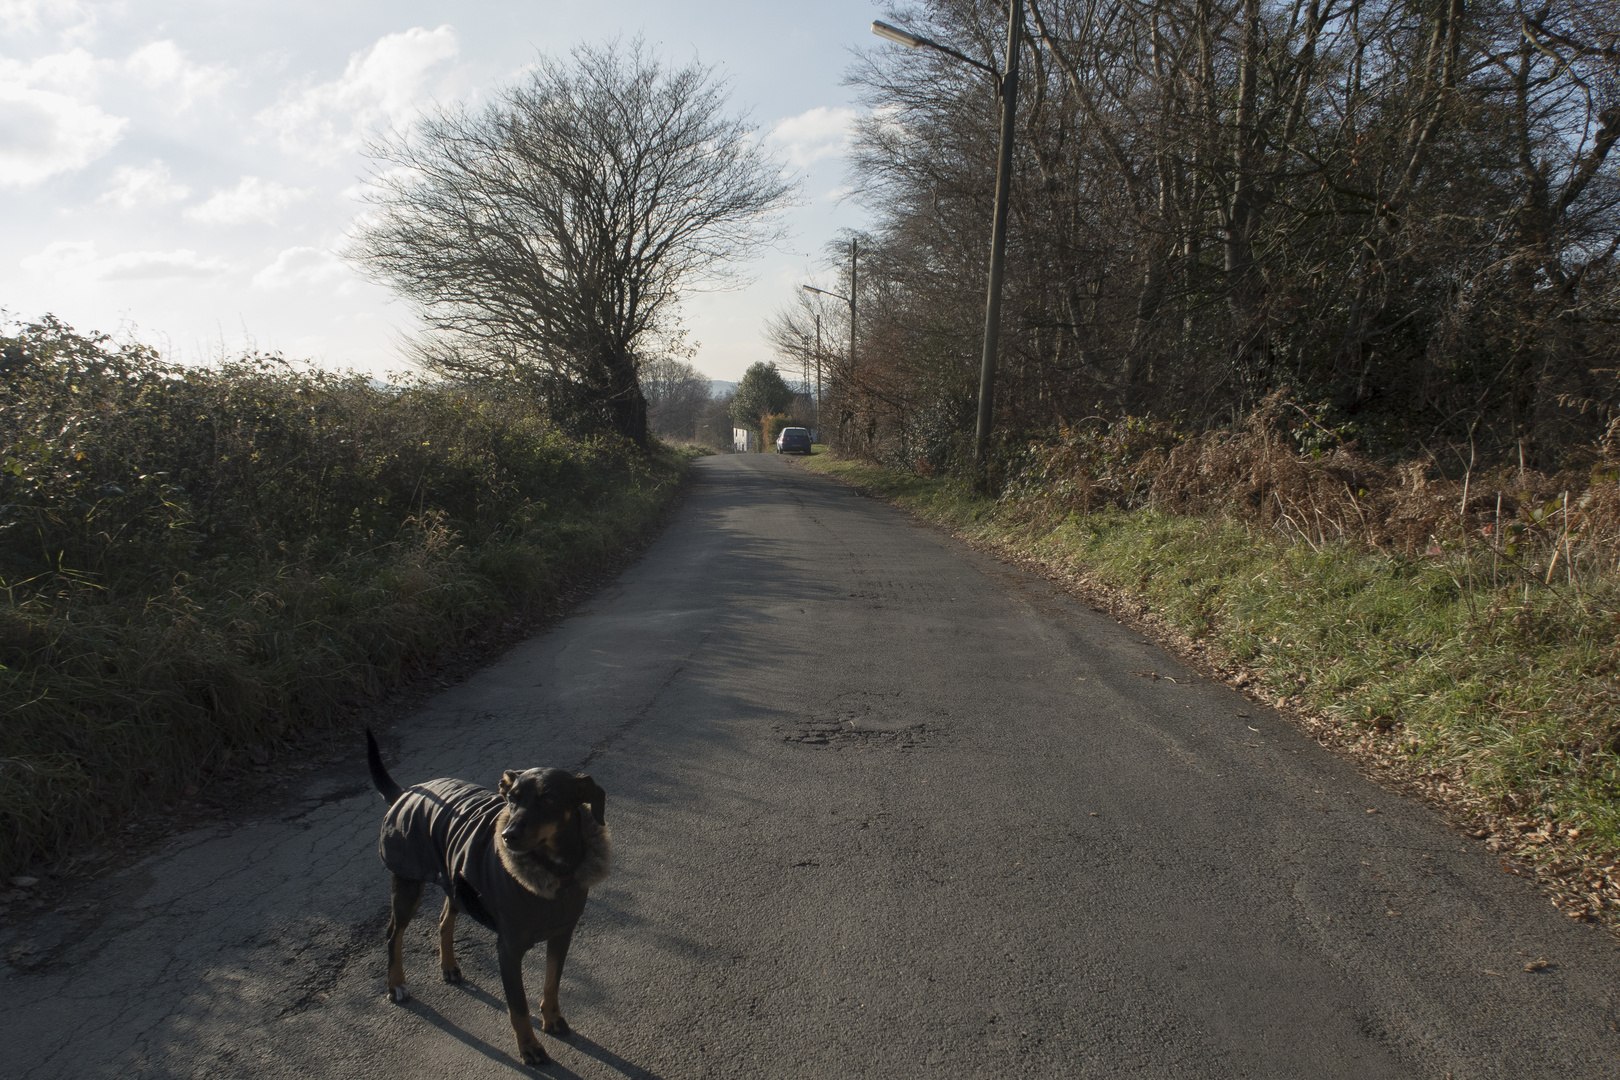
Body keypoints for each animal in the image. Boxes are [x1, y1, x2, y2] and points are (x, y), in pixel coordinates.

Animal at [364, 731, 609, 1068]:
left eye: (549, 799)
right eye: (512, 798)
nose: (508, 835)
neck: (553, 871)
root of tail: (407, 792)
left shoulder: (562, 934)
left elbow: (552, 981)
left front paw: (552, 1018)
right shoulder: (509, 950)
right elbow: (518, 1007)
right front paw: (529, 1047)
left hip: (454, 880)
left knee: (444, 920)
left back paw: (449, 966)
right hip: (408, 883)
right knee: (393, 934)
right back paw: (396, 985)